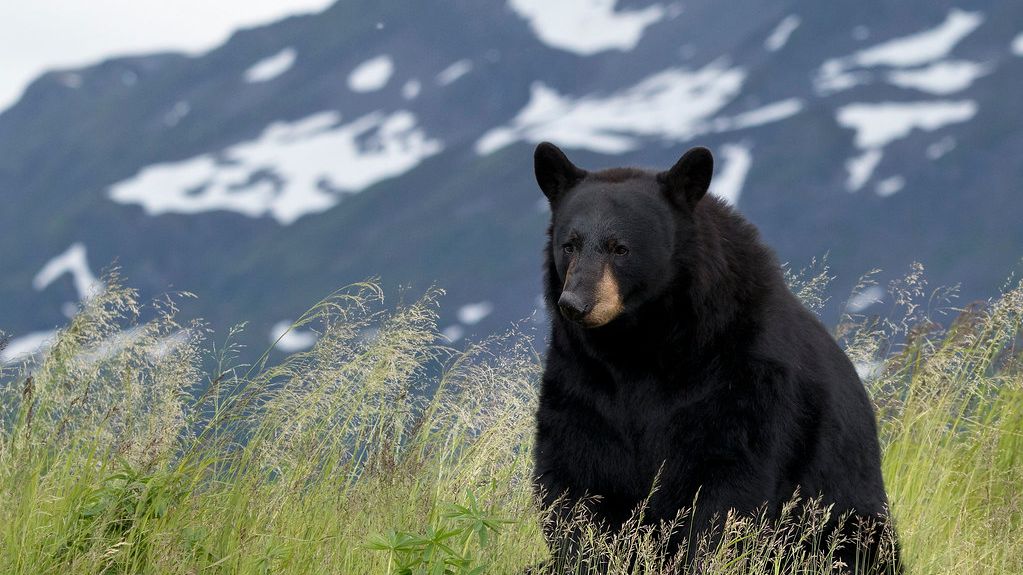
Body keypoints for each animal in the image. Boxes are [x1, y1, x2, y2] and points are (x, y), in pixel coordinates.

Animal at [532, 142, 900, 573]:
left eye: (620, 248)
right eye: (569, 244)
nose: (576, 303)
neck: (639, 346)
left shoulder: (741, 375)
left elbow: (727, 489)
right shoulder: (582, 380)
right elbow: (575, 478)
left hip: (851, 518)